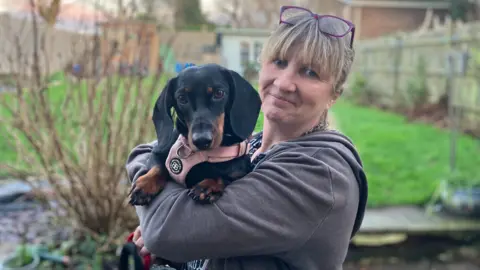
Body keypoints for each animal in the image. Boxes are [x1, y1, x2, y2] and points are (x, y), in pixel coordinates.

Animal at [128, 63, 262, 206]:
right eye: (182, 98)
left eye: (219, 93)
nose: (202, 140)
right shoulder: (157, 152)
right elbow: (158, 167)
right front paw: (145, 184)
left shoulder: (239, 170)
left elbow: (224, 175)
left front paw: (208, 185)